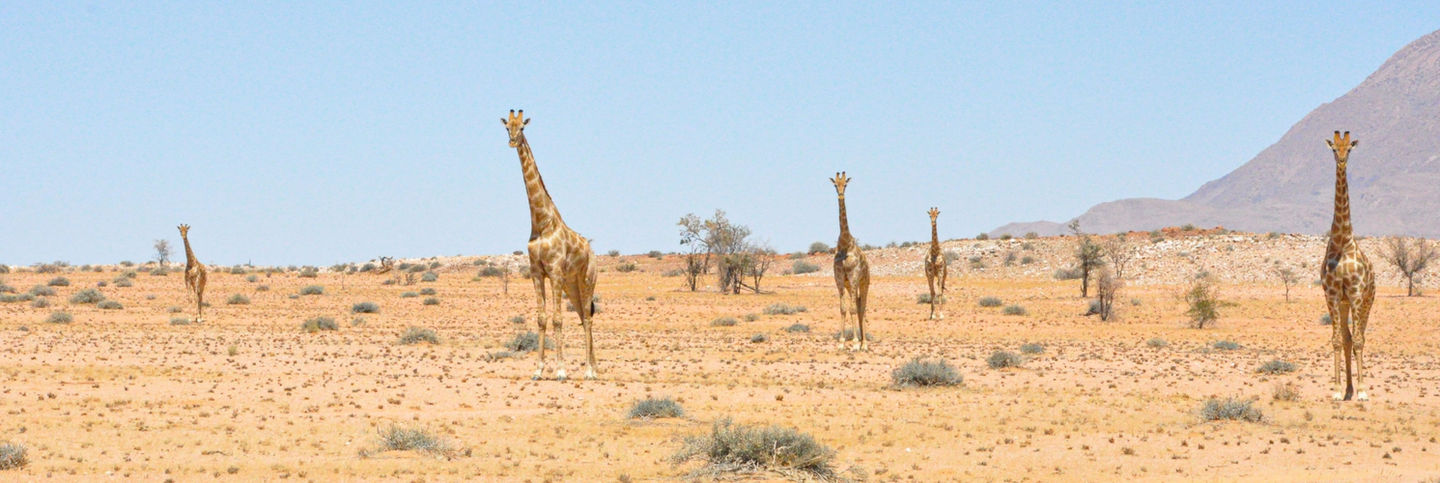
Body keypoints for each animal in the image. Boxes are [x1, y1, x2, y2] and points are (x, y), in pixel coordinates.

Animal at [503, 109, 599, 380]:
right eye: (507, 127)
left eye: (522, 127)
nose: (512, 141)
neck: (542, 222)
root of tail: (593, 252)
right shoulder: (537, 272)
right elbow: (541, 318)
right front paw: (538, 369)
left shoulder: (555, 271)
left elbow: (557, 319)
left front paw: (561, 370)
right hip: (572, 285)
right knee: (583, 315)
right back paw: (594, 367)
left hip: (586, 280)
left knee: (588, 319)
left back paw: (589, 371)